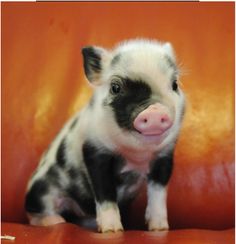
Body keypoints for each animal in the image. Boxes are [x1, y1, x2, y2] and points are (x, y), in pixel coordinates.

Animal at [24, 38, 185, 233]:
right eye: (115, 87)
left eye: (174, 84)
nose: (155, 111)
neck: (136, 155)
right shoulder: (94, 151)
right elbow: (105, 192)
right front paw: (111, 230)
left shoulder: (164, 157)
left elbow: (158, 194)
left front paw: (160, 229)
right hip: (41, 190)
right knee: (36, 212)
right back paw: (55, 222)